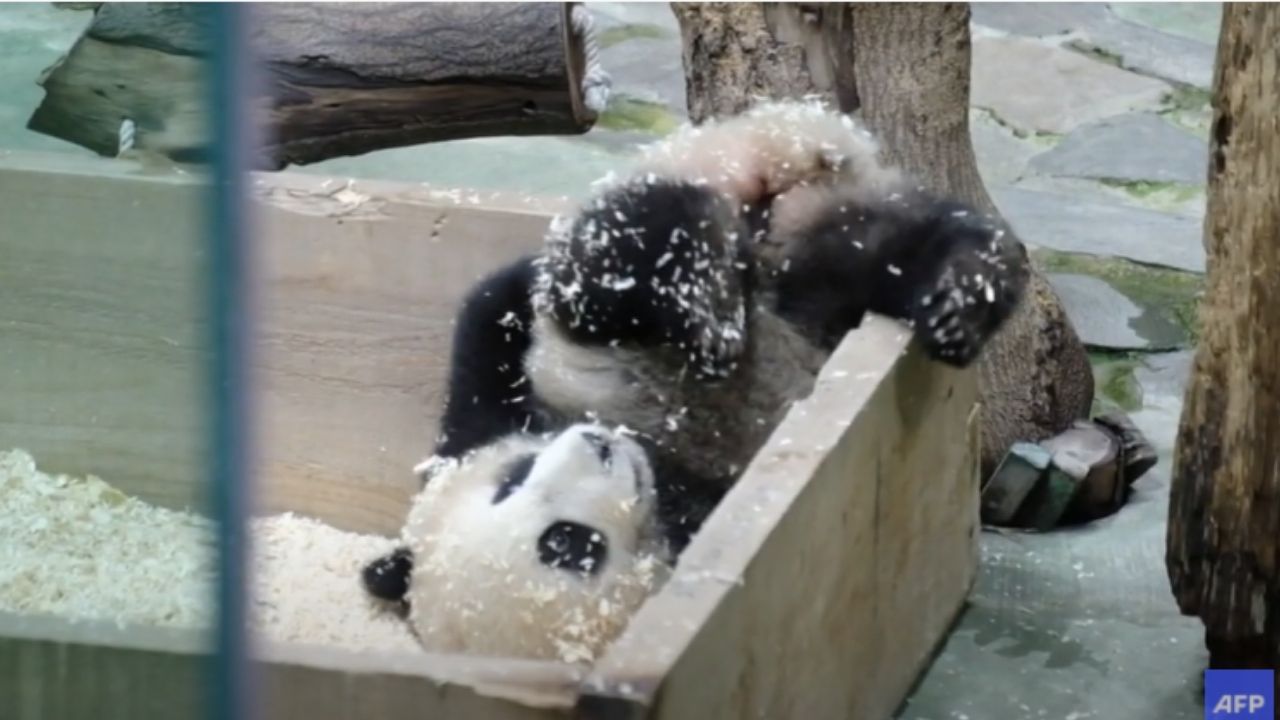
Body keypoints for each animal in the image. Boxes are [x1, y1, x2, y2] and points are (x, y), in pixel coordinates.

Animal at [361, 100, 1029, 662]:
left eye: (513, 478)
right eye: (570, 546)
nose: (599, 444)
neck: (660, 467)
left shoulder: (489, 413)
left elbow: (497, 307)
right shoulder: (698, 521)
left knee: (622, 253)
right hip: (822, 269)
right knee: (876, 248)